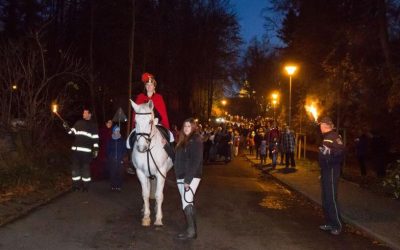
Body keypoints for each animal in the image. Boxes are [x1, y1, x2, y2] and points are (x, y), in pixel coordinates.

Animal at [130, 99, 173, 227]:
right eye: (135, 121)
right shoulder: (141, 173)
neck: (148, 150)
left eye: (150, 121)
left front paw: (158, 218)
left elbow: (159, 195)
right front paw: (146, 216)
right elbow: (145, 194)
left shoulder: (161, 173)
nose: (141, 147)